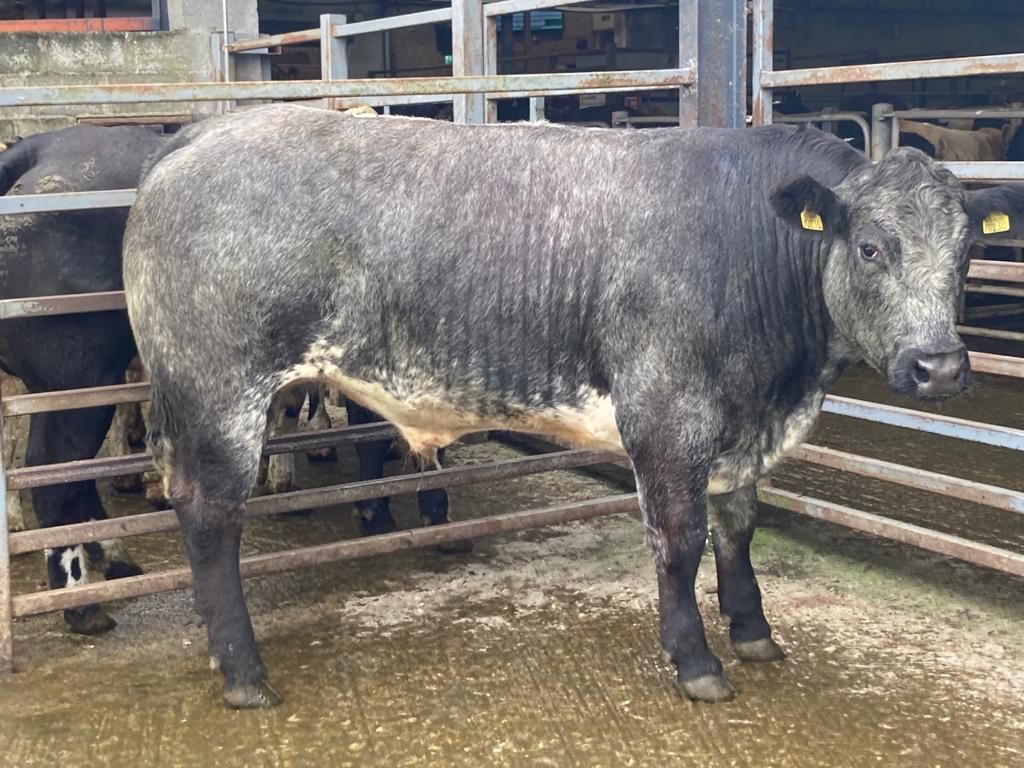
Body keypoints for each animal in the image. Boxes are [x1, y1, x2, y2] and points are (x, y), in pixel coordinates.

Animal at [123, 103, 1020, 708]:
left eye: (967, 253)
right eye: (870, 247)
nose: (940, 367)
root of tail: (201, 133)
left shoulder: (738, 427)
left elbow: (738, 528)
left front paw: (754, 631)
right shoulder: (666, 417)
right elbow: (680, 540)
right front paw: (696, 662)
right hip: (219, 391)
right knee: (210, 517)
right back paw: (243, 671)